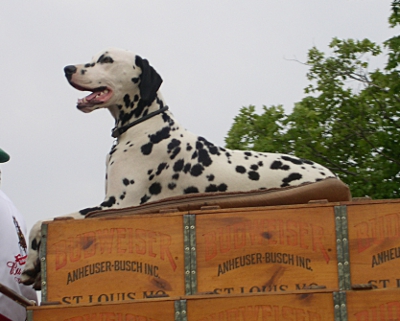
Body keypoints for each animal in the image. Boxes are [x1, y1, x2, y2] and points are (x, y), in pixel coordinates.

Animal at [20, 47, 336, 288]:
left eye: (106, 59)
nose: (67, 68)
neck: (143, 126)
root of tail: (331, 176)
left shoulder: (116, 205)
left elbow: (41, 222)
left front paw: (31, 263)